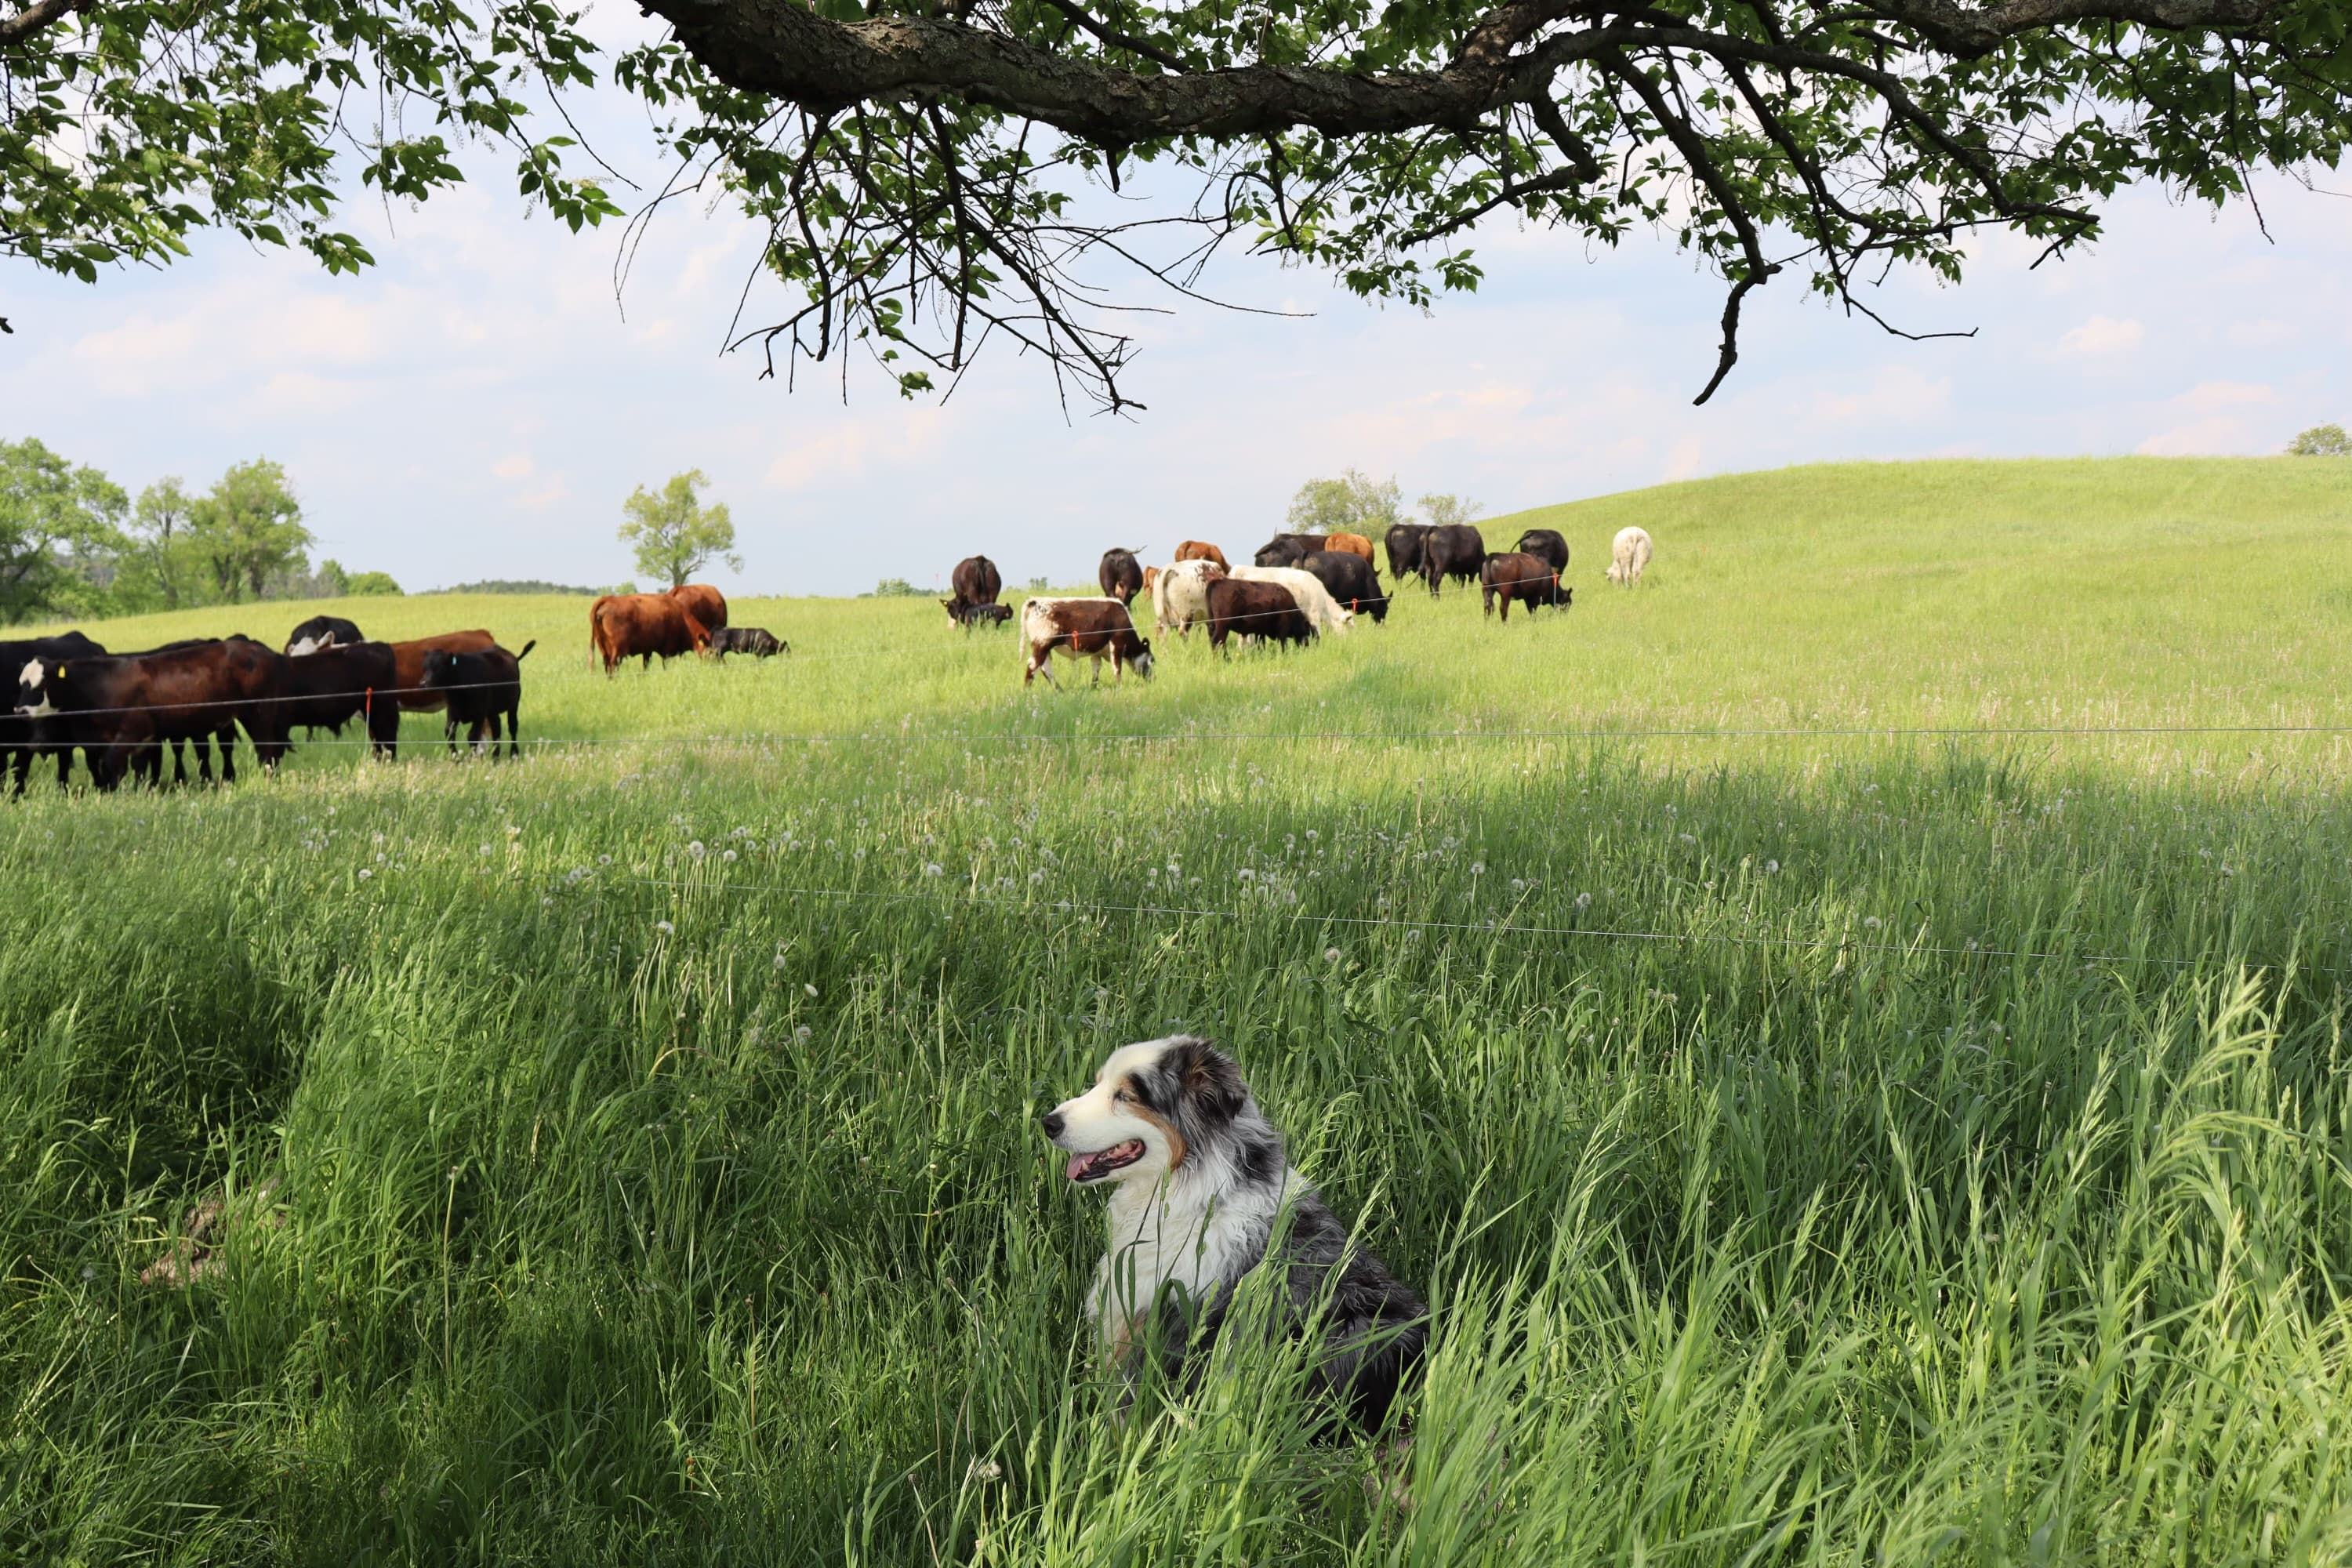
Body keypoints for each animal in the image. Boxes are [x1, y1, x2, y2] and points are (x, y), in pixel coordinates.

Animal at [16, 639, 289, 790]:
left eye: (42, 684)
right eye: (21, 683)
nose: (19, 711)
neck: (102, 684)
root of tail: (263, 651)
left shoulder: (131, 732)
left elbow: (112, 765)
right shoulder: (141, 739)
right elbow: (137, 767)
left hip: (259, 713)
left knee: (267, 751)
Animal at [420, 641, 534, 758]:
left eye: (438, 667)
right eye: (425, 667)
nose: (423, 683)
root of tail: (512, 656)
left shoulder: (479, 714)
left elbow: (472, 736)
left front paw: (472, 758)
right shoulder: (453, 712)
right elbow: (449, 733)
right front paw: (456, 758)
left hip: (514, 704)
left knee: (513, 727)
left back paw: (514, 754)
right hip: (492, 711)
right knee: (496, 729)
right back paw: (495, 756)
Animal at [590, 594, 708, 674]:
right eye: (710, 652)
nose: (711, 668)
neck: (681, 617)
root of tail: (608, 599)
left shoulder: (647, 650)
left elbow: (646, 666)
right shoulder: (667, 651)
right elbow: (665, 666)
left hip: (604, 648)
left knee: (607, 665)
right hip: (618, 650)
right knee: (613, 665)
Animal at [1020, 598, 1153, 686]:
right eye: (1152, 660)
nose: (1153, 678)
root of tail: (1035, 601)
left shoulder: (1097, 652)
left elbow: (1096, 668)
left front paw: (1094, 687)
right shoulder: (1117, 643)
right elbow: (1117, 667)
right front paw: (1119, 685)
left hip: (1045, 648)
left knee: (1046, 668)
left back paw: (1059, 690)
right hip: (1042, 645)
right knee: (1033, 666)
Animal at [1205, 576, 1314, 652]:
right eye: (1307, 632)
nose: (1307, 646)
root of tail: (1217, 582)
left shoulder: (1260, 631)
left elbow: (1261, 644)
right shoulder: (1283, 628)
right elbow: (1283, 643)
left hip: (1213, 624)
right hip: (1223, 625)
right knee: (1218, 640)